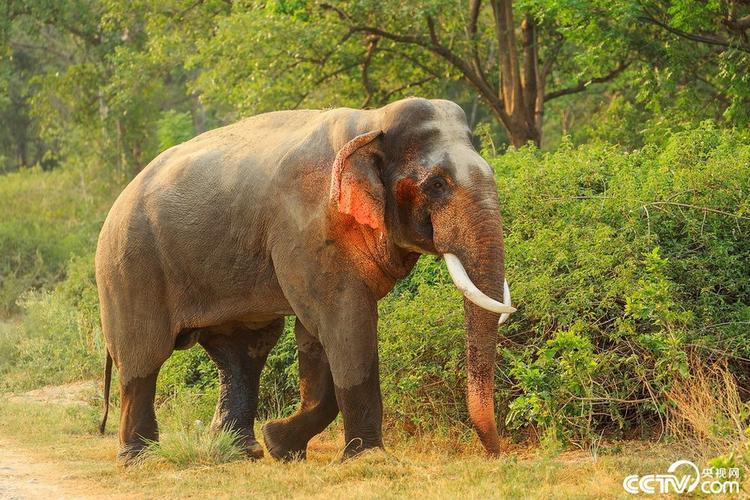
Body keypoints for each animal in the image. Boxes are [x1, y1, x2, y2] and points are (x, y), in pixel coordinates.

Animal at [95, 97, 515, 465]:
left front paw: (280, 444)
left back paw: (241, 452)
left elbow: (315, 335)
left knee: (243, 352)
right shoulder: (305, 231)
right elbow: (344, 322)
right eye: (437, 185)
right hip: (129, 267)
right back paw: (140, 459)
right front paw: (368, 458)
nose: (495, 456)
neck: (371, 122)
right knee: (143, 357)